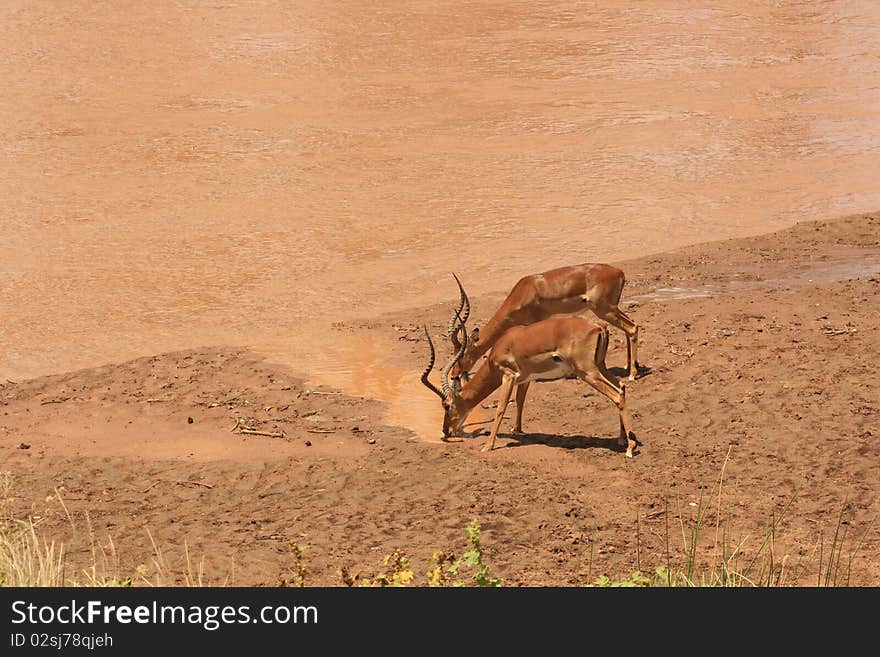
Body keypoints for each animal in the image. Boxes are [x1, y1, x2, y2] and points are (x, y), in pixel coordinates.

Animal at [450, 264, 644, 382]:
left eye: (461, 356)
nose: (454, 375)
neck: (524, 292)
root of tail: (619, 272)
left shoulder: (537, 322)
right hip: (611, 309)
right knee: (630, 325)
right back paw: (628, 366)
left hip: (604, 309)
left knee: (632, 327)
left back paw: (632, 375)